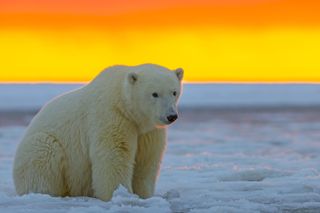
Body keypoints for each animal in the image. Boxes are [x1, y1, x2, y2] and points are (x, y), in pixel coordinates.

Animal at [13, 64, 184, 201]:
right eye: (155, 93)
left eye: (174, 92)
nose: (171, 116)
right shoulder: (111, 116)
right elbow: (114, 155)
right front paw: (118, 194)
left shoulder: (148, 131)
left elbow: (147, 159)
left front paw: (145, 195)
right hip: (42, 146)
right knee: (42, 156)